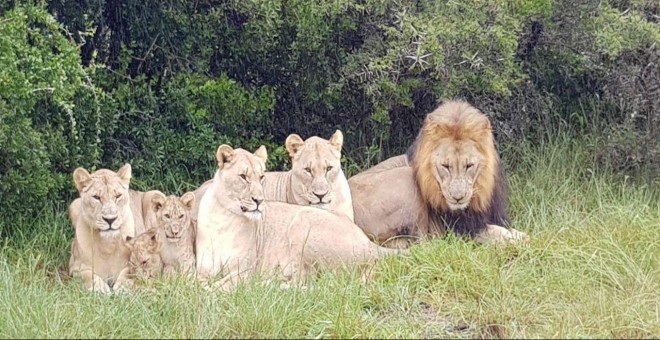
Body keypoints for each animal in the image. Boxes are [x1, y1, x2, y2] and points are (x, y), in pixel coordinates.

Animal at [67, 164, 136, 292]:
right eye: (96, 197)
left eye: (118, 196)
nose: (110, 219)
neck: (107, 245)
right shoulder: (75, 267)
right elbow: (88, 276)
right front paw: (100, 288)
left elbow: (128, 272)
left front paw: (122, 286)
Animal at [193, 143, 404, 290]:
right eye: (243, 177)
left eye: (261, 177)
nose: (259, 200)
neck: (224, 218)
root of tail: (368, 242)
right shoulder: (202, 269)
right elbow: (192, 284)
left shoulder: (244, 270)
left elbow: (218, 287)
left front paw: (212, 291)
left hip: (302, 222)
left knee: (308, 282)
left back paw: (266, 286)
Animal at [348, 100, 528, 247]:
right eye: (445, 166)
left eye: (469, 165)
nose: (458, 198)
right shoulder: (462, 230)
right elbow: (499, 233)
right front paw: (522, 241)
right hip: (406, 178)